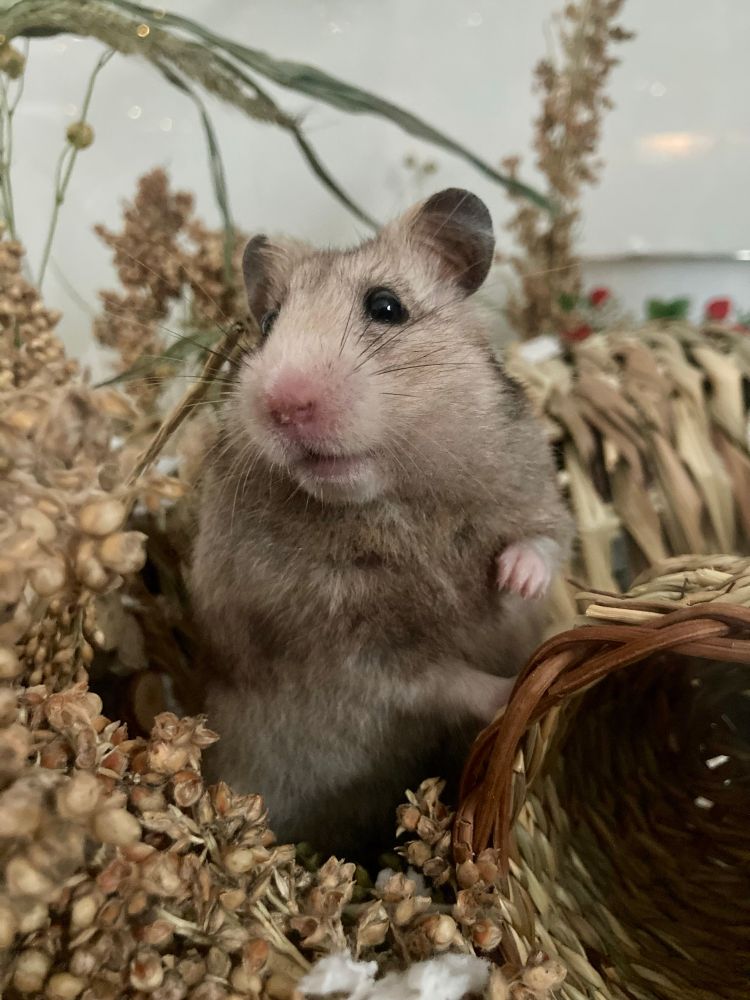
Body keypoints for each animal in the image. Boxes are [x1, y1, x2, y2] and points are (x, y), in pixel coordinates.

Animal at [190, 188, 573, 858]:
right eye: (268, 325)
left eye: (386, 306)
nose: (282, 404)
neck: (388, 504)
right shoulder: (349, 653)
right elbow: (447, 682)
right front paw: (518, 691)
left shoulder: (535, 492)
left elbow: (543, 542)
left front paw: (512, 579)